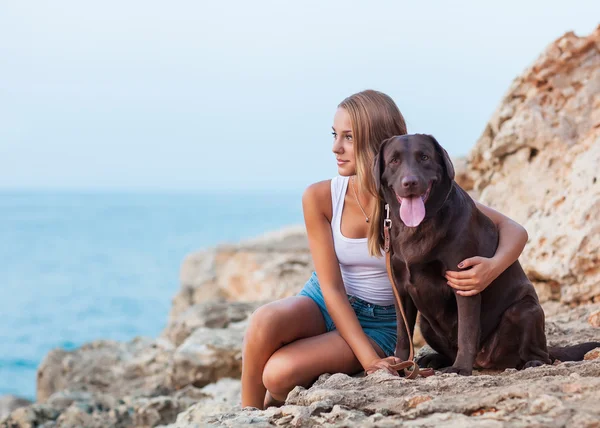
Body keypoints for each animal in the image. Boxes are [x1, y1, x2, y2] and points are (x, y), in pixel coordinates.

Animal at [376, 134, 600, 374]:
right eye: (394, 161)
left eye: (424, 157)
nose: (409, 182)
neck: (418, 228)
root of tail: (482, 361)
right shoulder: (400, 290)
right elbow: (402, 335)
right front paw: (399, 364)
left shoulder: (464, 282)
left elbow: (466, 331)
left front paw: (460, 369)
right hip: (426, 324)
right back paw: (434, 359)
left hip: (525, 310)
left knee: (542, 354)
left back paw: (532, 362)